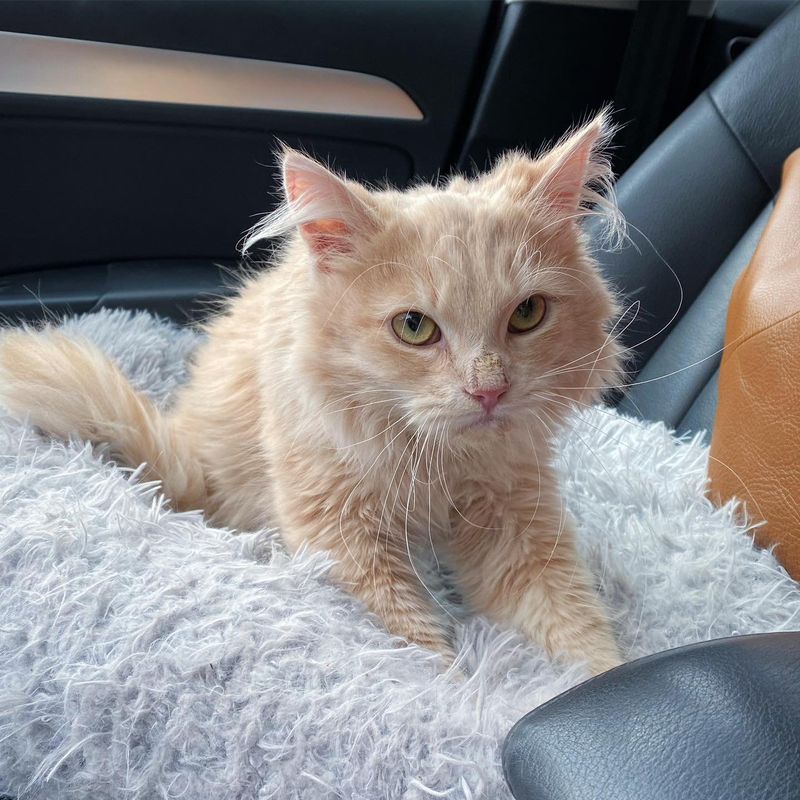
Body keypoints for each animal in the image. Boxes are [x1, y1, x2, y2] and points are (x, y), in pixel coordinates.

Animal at [0, 111, 624, 676]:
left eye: (528, 314)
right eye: (414, 327)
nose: (489, 391)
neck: (437, 462)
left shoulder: (516, 520)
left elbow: (574, 630)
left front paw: (583, 682)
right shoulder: (339, 531)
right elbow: (416, 647)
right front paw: (457, 686)